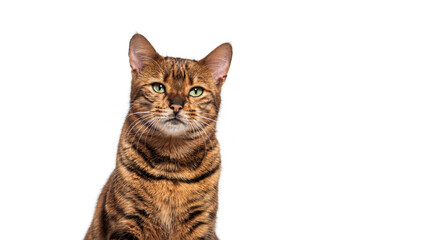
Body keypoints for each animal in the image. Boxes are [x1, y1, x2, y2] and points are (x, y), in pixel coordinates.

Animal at [84, 32, 233, 240]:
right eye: (158, 87)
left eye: (196, 91)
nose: (177, 105)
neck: (172, 165)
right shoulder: (126, 220)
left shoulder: (201, 224)